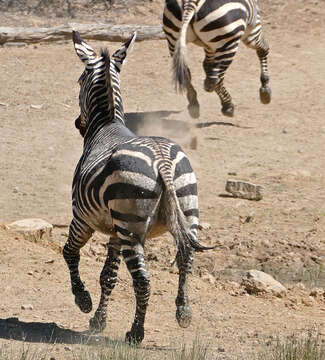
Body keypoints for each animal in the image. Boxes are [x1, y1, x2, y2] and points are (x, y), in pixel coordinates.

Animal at [63, 30, 215, 344]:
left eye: (79, 81)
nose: (77, 124)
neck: (106, 126)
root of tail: (162, 159)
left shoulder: (82, 218)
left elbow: (69, 252)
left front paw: (83, 301)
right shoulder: (114, 232)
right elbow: (108, 276)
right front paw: (98, 321)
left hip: (131, 227)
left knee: (143, 281)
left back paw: (136, 333)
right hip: (187, 207)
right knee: (186, 259)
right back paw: (183, 312)